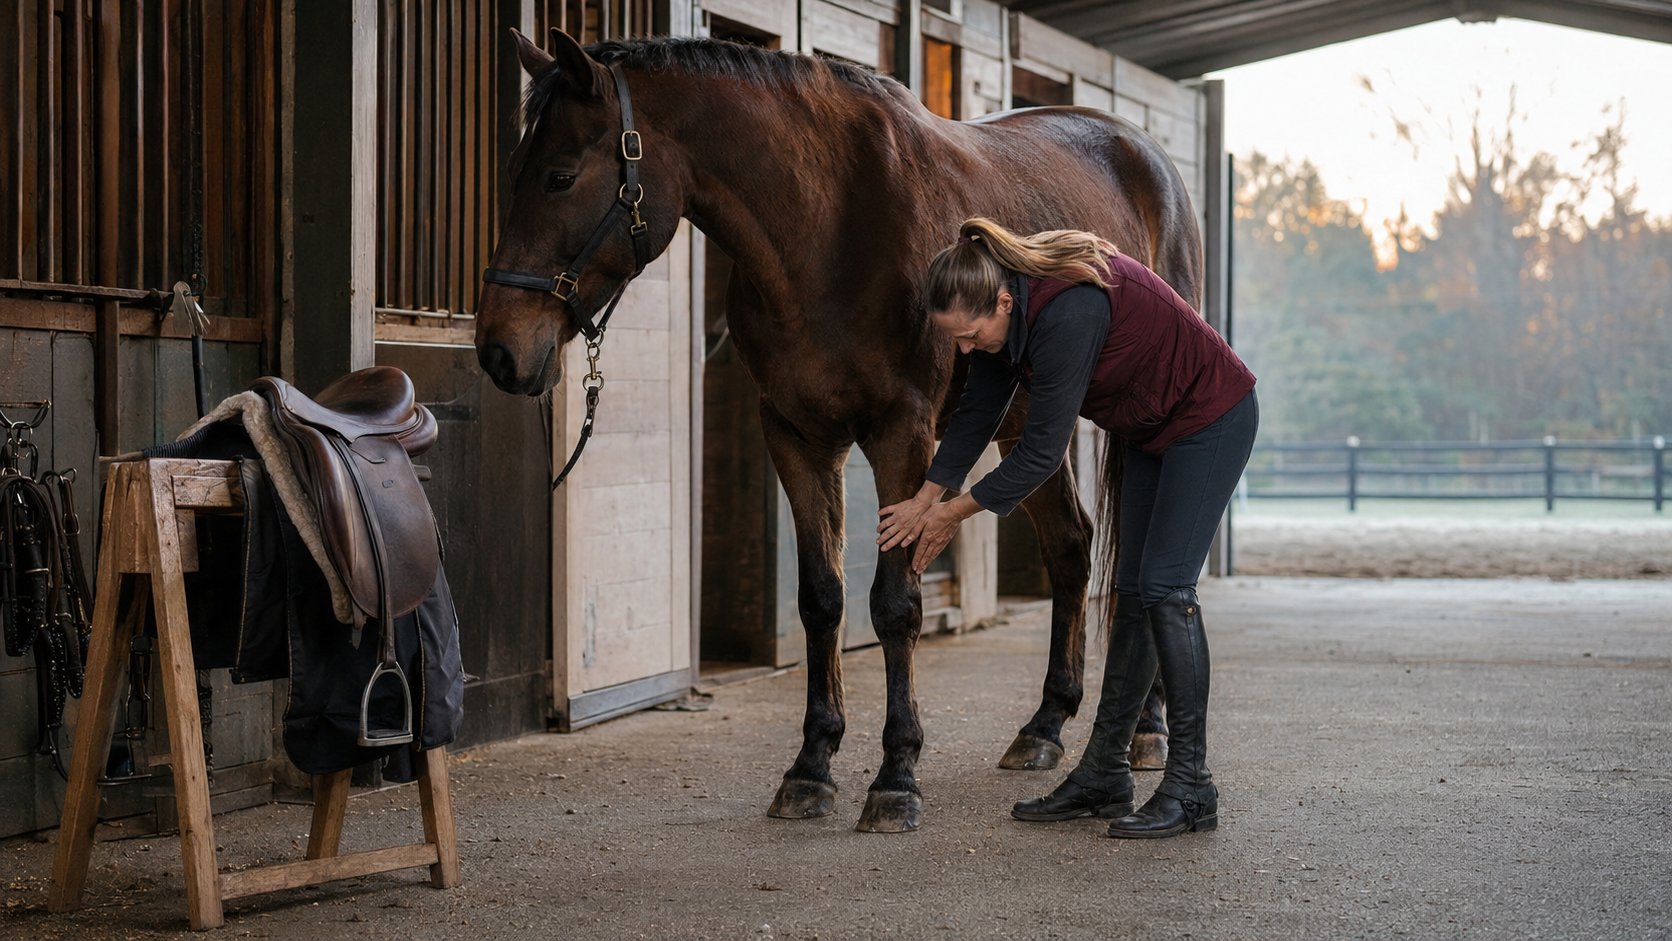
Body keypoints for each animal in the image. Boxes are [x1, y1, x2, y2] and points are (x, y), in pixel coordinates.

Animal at [475, 30, 1200, 832]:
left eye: (560, 177)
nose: (499, 351)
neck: (828, 228)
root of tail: (1142, 150)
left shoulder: (902, 435)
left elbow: (896, 603)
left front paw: (896, 777)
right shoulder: (797, 436)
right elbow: (822, 599)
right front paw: (810, 768)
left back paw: (1147, 731)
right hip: (1025, 423)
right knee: (1072, 548)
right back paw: (1043, 728)